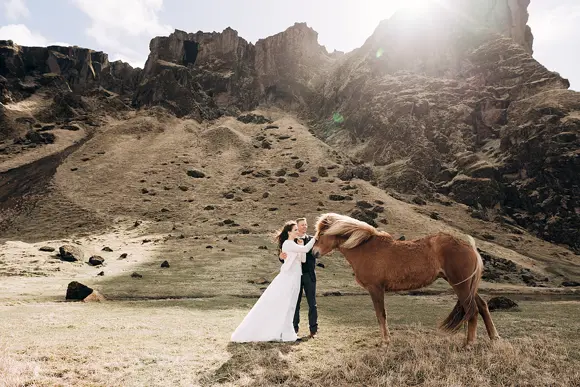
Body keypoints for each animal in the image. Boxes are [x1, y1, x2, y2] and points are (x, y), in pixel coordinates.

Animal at [312, 214, 498, 348]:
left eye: (321, 234)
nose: (313, 253)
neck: (364, 248)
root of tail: (470, 247)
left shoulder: (376, 289)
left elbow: (381, 315)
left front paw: (385, 342)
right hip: (467, 286)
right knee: (482, 306)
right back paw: (493, 338)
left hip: (461, 286)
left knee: (473, 310)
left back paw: (469, 344)